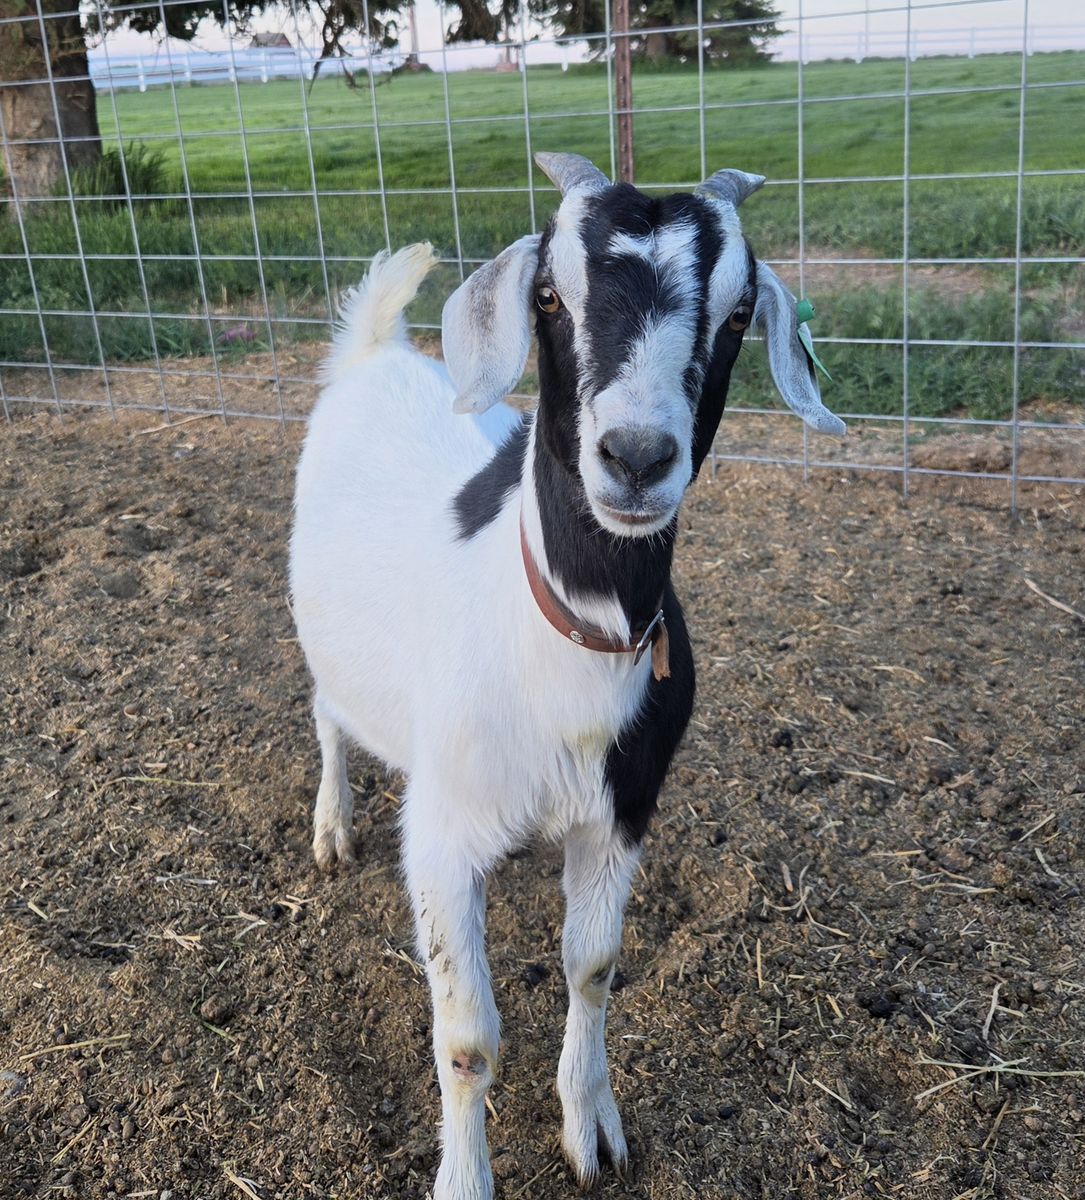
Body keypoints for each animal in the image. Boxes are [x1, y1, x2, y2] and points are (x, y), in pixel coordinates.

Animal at [289, 151, 844, 1199]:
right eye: (551, 295)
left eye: (736, 315)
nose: (636, 456)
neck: (563, 634)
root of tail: (376, 350)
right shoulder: (439, 835)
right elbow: (465, 1037)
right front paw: (464, 1179)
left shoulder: (620, 810)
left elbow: (592, 967)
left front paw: (591, 1129)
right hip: (319, 634)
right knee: (328, 714)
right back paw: (332, 827)